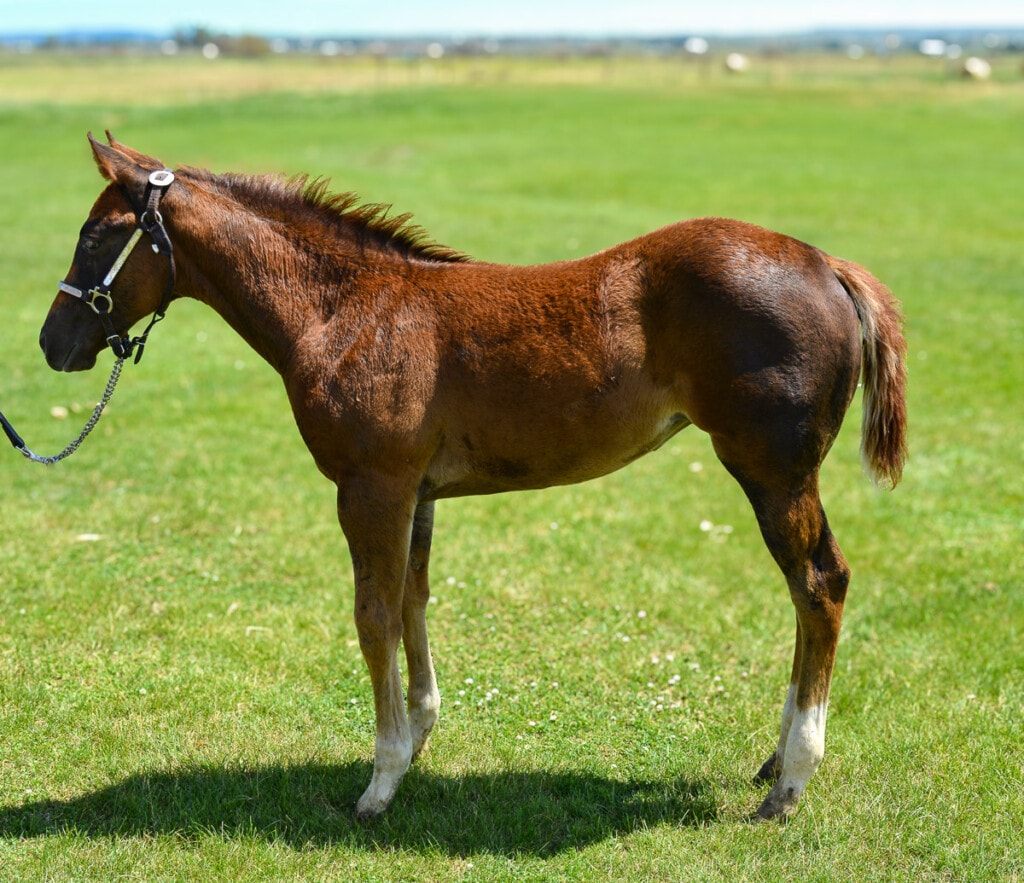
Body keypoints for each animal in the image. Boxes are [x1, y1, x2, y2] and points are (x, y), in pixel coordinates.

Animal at [39, 133, 907, 822]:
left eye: (96, 235)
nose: (53, 342)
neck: (346, 311)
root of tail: (828, 265)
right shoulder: (416, 493)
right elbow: (413, 602)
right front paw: (418, 736)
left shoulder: (371, 487)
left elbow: (373, 613)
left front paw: (381, 780)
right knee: (811, 587)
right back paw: (774, 759)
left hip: (771, 468)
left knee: (818, 583)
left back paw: (789, 781)